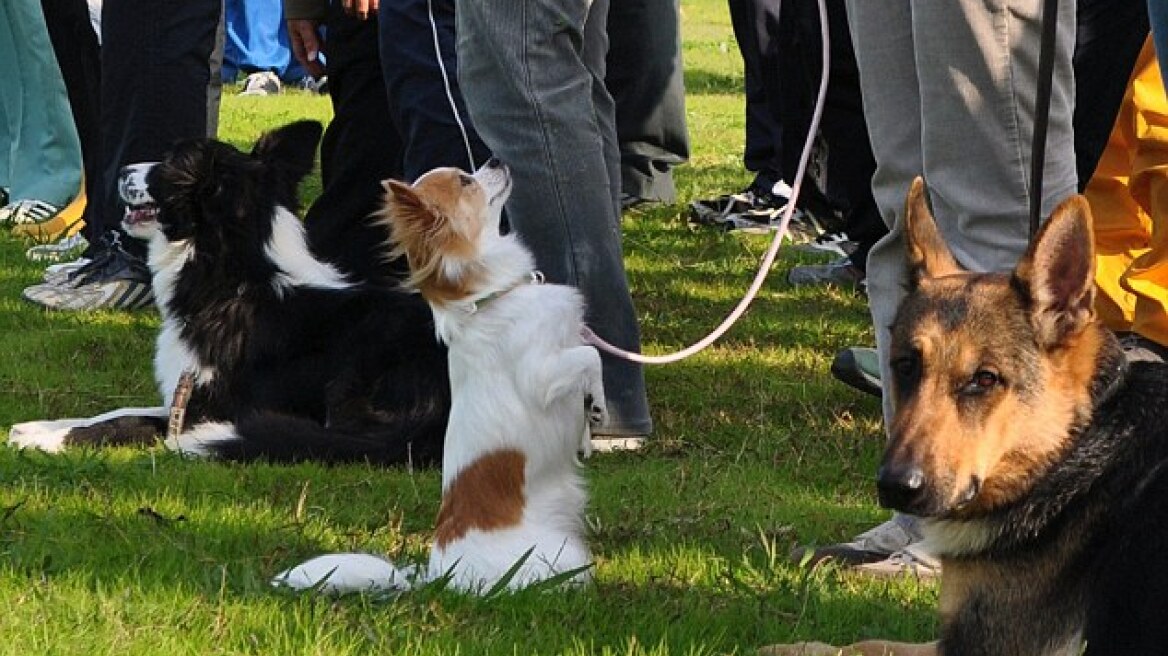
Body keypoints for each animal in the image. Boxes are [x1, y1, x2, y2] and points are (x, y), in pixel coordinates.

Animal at [13, 121, 450, 464]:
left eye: (171, 163)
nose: (121, 170)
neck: (236, 280)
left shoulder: (211, 408)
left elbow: (128, 422)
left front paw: (49, 439)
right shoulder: (184, 393)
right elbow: (121, 410)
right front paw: (40, 426)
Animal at [272, 159, 602, 592]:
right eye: (465, 181)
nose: (495, 160)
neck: (490, 299)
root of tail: (440, 576)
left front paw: (588, 429)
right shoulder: (542, 374)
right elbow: (591, 356)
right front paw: (599, 407)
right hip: (562, 557)